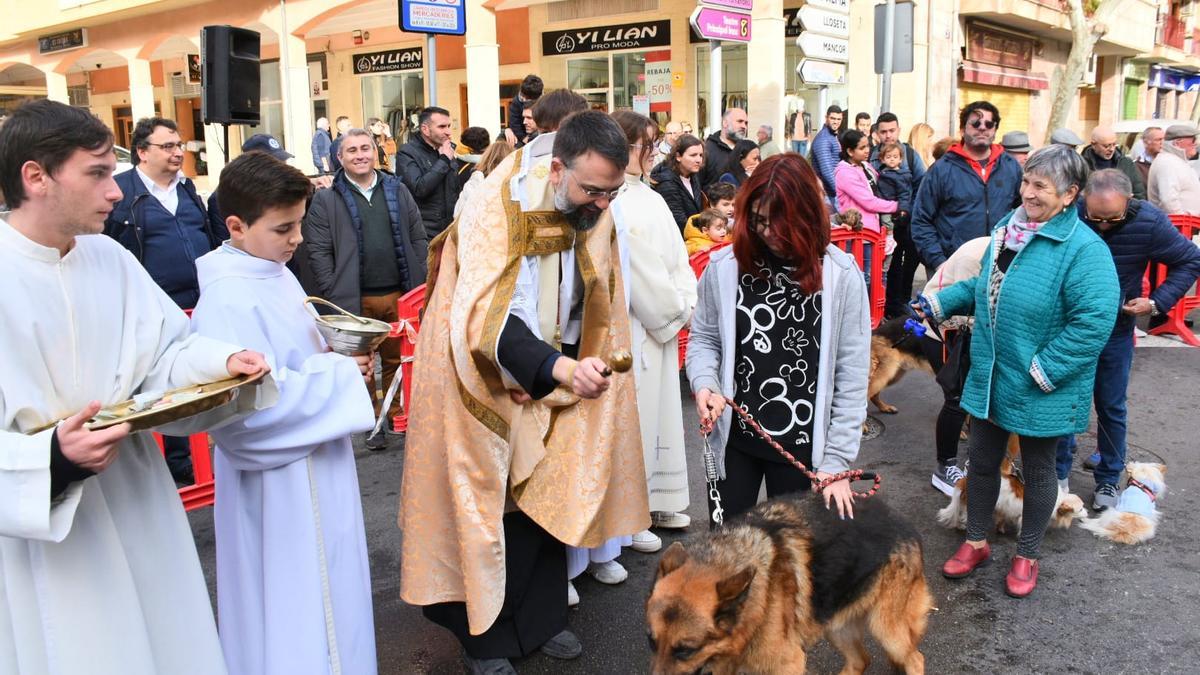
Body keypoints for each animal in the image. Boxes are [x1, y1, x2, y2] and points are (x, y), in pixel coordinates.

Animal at [643, 492, 931, 667]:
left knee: (915, 659)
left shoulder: (788, 663)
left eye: (684, 651)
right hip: (836, 624)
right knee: (861, 660)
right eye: (651, 642)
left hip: (886, 629)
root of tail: (905, 523)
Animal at [936, 437, 1089, 530]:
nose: (1088, 514)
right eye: (1081, 509)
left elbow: (1002, 518)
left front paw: (1000, 528)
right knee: (964, 516)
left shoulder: (1005, 509)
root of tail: (965, 481)